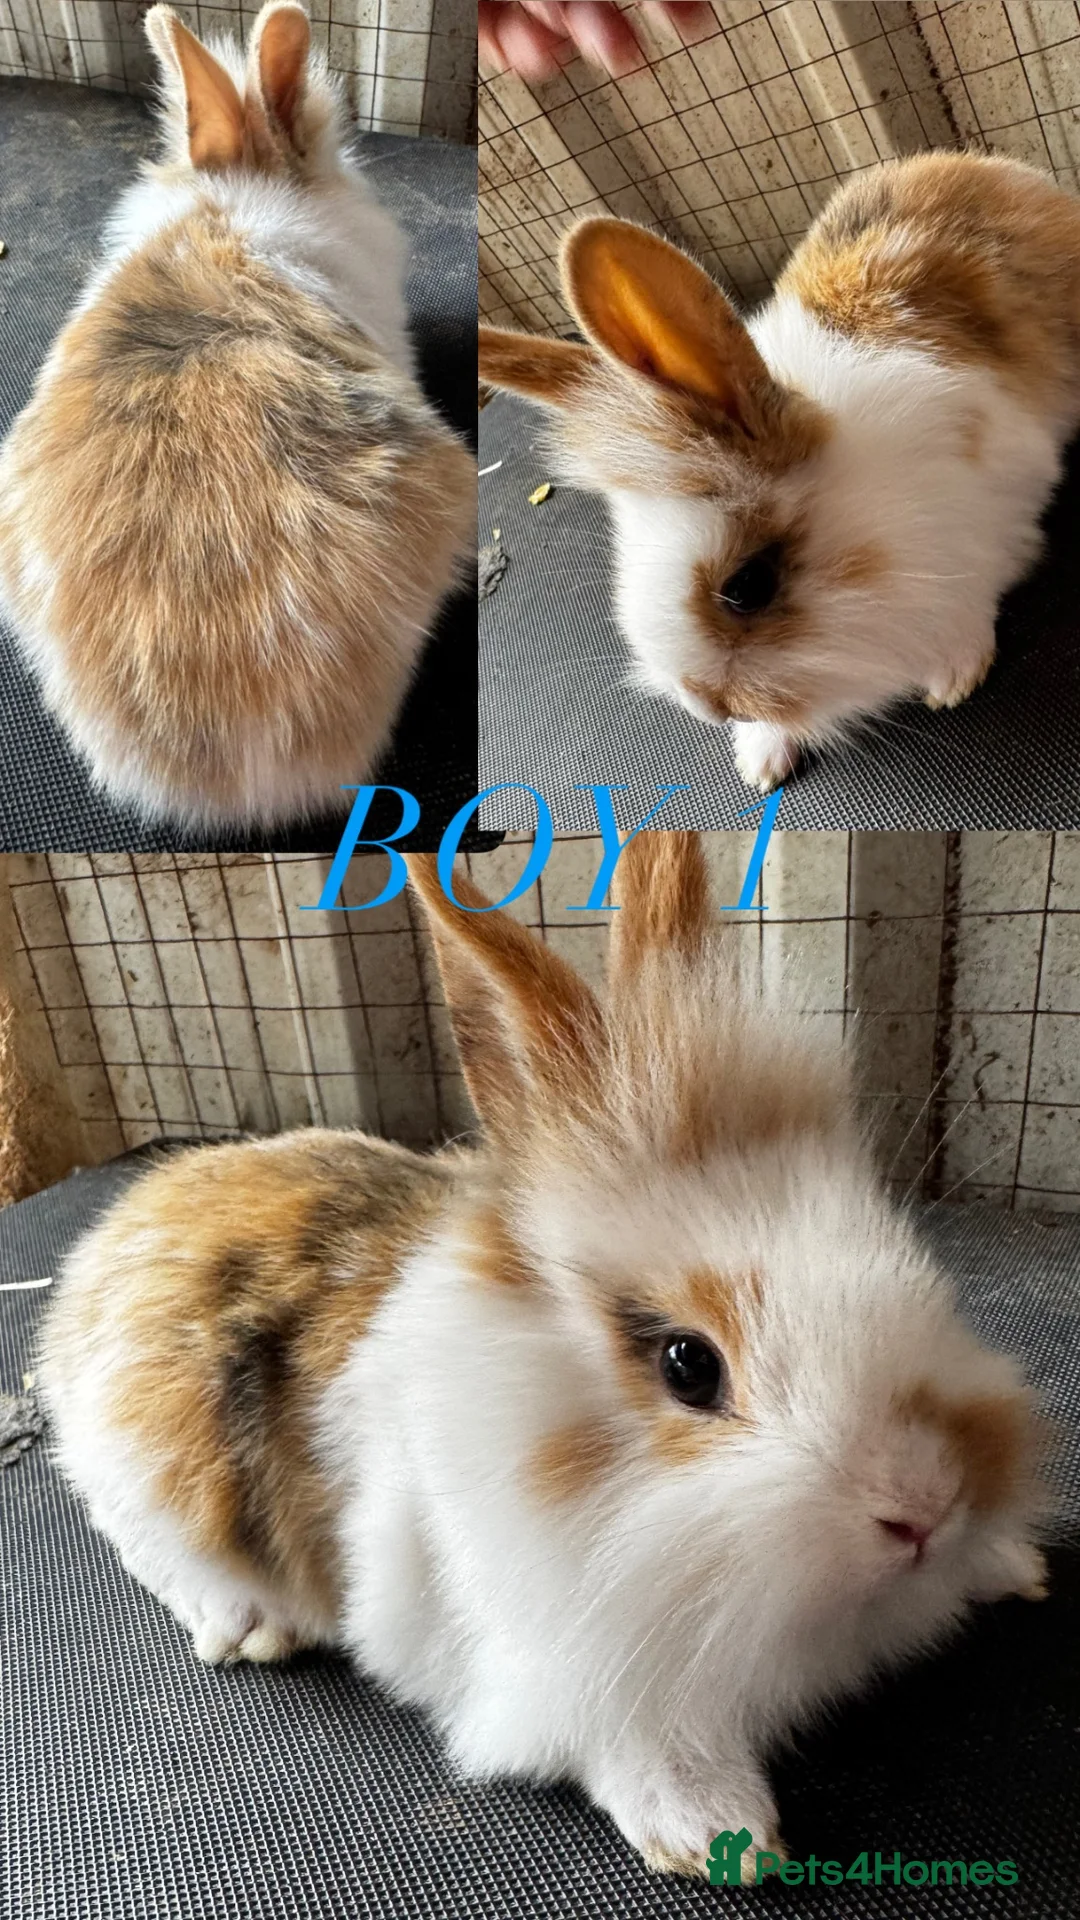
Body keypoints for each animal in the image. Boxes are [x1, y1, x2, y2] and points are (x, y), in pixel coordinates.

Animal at [38, 832, 1048, 1881]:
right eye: (689, 1365)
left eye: (910, 1259)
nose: (927, 1506)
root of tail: (111, 1235)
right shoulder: (561, 1672)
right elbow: (632, 1742)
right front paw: (714, 1832)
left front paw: (1008, 1566)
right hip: (141, 1473)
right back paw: (248, 1626)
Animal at [479, 152, 1080, 793]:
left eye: (749, 587)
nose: (709, 706)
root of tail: (989, 165)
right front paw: (760, 760)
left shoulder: (1002, 515)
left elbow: (975, 597)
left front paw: (954, 675)